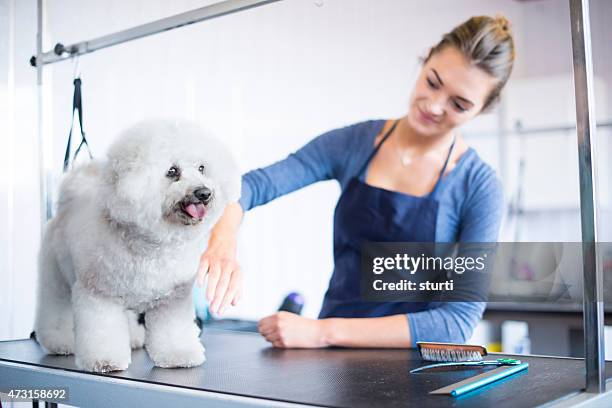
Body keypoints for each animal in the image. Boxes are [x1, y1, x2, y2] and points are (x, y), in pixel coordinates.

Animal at [32, 118, 239, 372]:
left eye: (202, 168)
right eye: (172, 171)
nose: (204, 192)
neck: (151, 245)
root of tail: (68, 202)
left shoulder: (172, 300)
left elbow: (173, 332)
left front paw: (178, 355)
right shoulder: (99, 295)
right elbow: (102, 332)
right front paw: (105, 361)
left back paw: (132, 338)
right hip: (56, 278)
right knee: (55, 308)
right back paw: (60, 341)